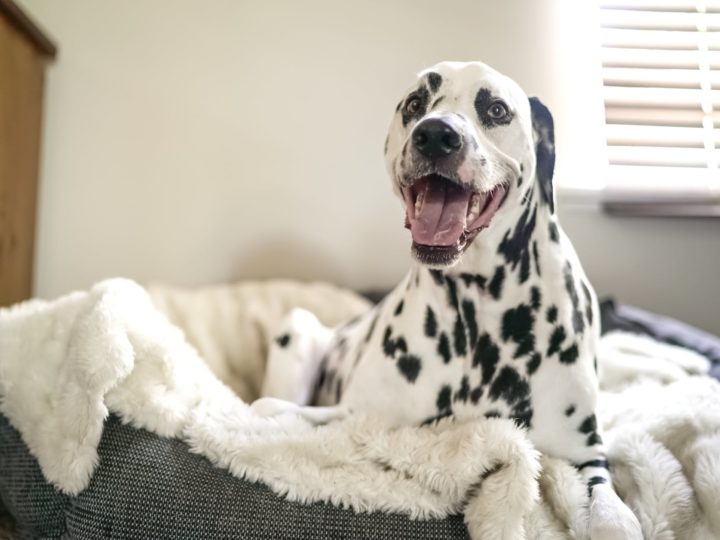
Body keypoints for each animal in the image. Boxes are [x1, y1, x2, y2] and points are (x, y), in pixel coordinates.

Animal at [258, 61, 640, 536]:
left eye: (496, 109)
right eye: (415, 104)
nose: (436, 134)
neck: (477, 313)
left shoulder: (583, 456)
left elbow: (613, 515)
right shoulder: (355, 418)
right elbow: (276, 412)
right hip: (297, 327)